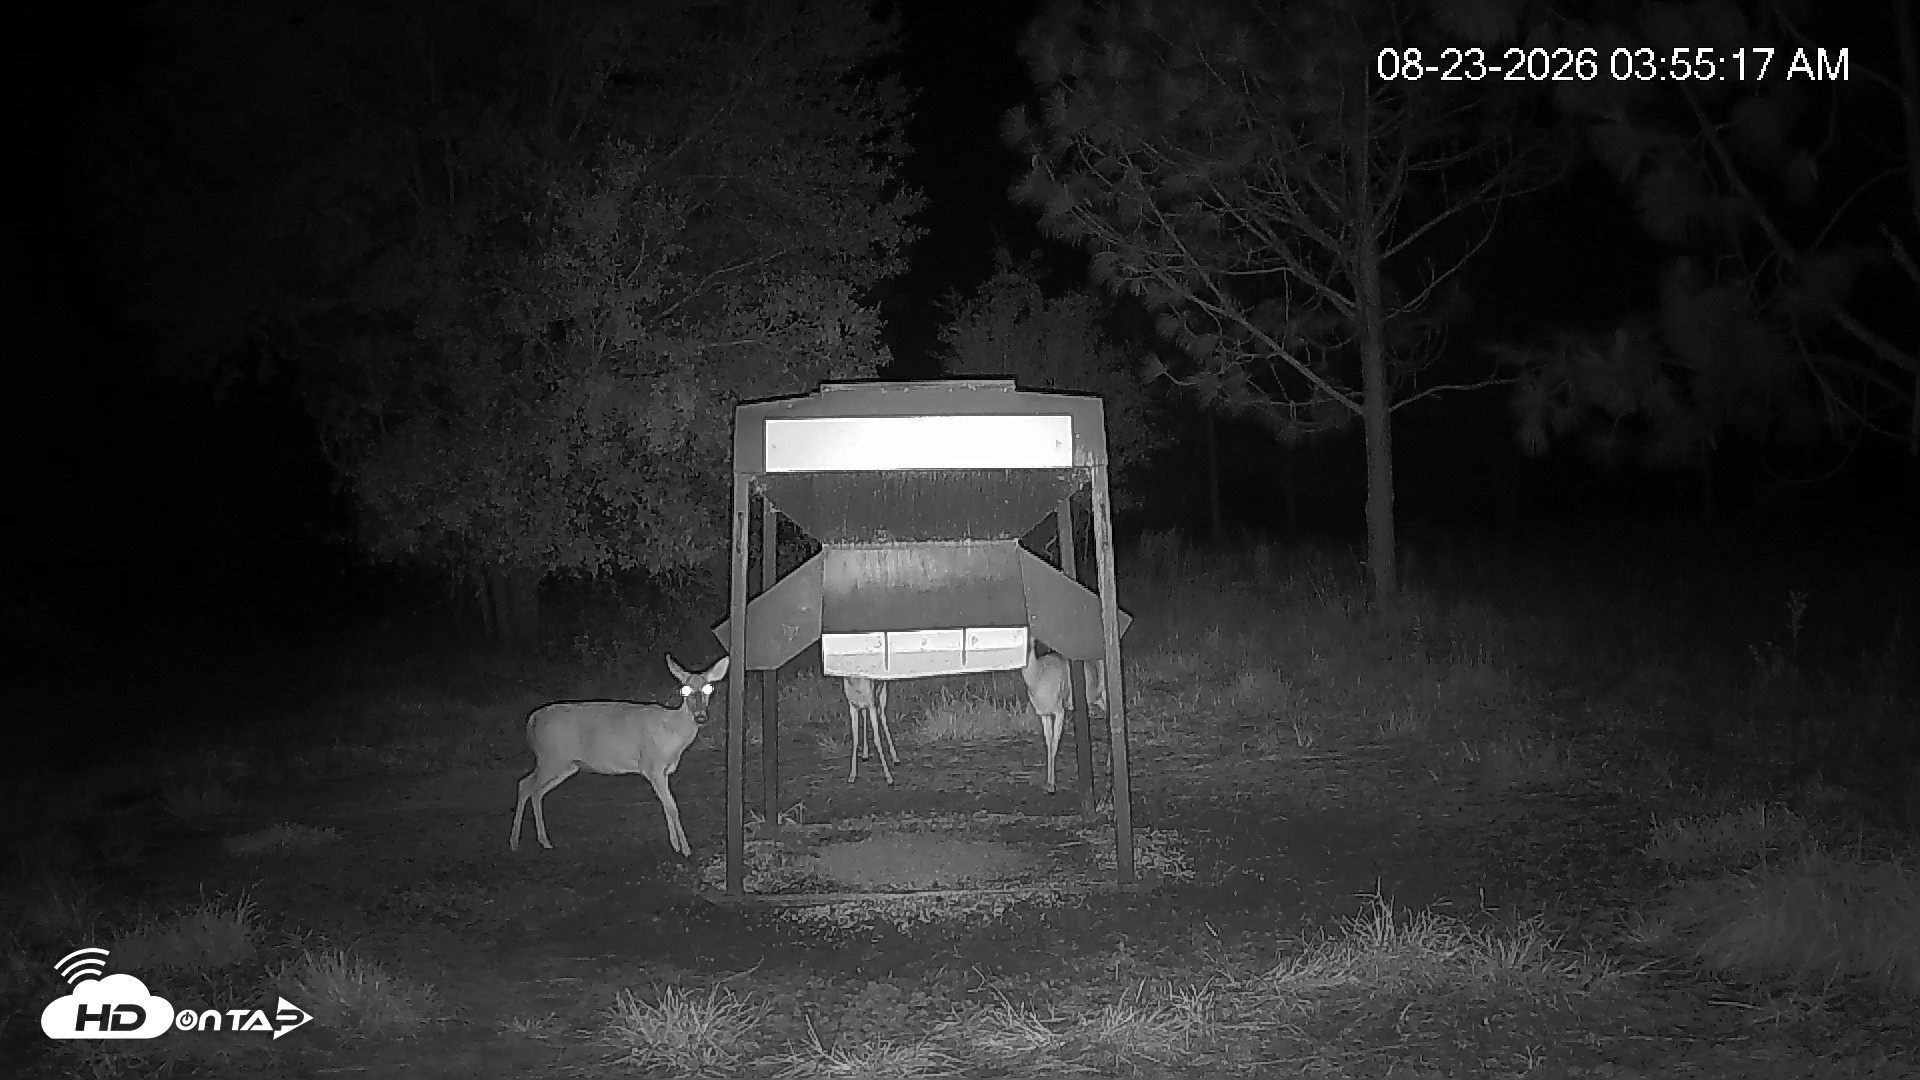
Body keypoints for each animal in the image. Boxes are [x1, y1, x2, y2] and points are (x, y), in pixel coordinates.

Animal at [509, 654, 729, 857]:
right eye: (685, 689)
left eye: (709, 688)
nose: (700, 717)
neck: (672, 734)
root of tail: (532, 719)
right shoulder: (651, 765)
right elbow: (673, 806)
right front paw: (686, 849)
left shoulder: (663, 771)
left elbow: (667, 805)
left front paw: (675, 845)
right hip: (551, 758)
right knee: (524, 785)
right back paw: (514, 842)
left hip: (567, 764)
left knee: (536, 791)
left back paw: (544, 841)